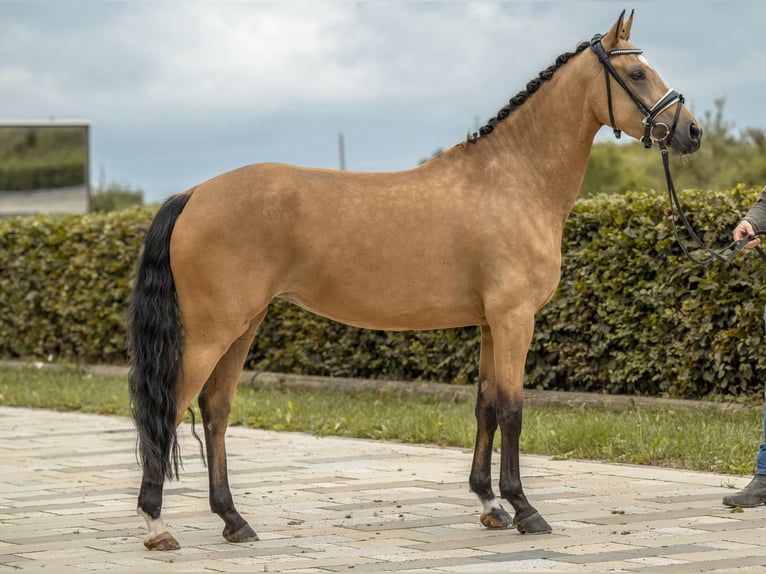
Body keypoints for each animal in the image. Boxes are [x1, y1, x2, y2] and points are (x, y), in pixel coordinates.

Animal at [127, 11, 704, 552]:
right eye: (637, 73)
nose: (692, 132)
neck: (513, 179)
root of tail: (194, 193)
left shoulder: (490, 324)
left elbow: (486, 408)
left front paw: (491, 505)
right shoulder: (514, 319)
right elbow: (513, 411)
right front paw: (525, 509)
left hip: (244, 325)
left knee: (215, 411)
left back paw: (233, 520)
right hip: (212, 331)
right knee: (169, 408)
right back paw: (157, 524)